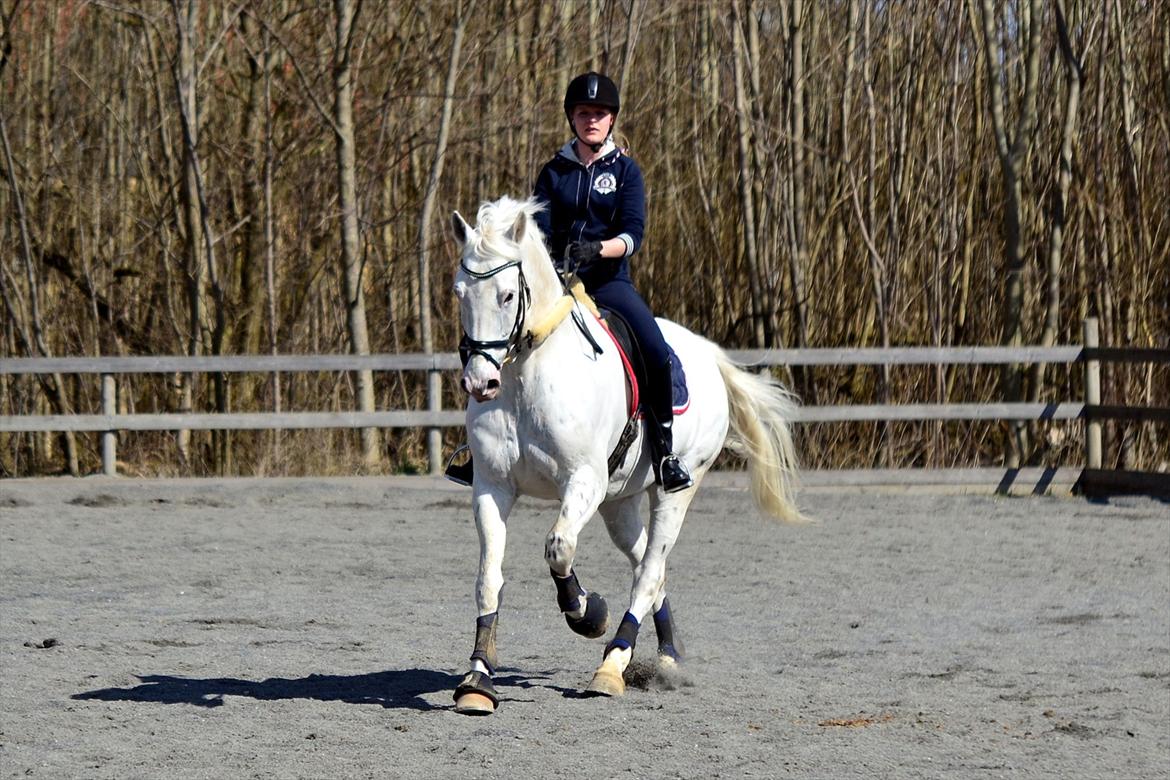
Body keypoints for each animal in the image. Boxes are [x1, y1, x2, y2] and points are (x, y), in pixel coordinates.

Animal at [446, 195, 804, 715]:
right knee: (647, 566)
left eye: (508, 296)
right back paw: (668, 656)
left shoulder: (583, 480)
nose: (480, 383)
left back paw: (612, 665)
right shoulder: (492, 487)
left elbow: (558, 547)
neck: (526, 373)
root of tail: (708, 353)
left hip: (676, 490)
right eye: (459, 293)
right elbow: (488, 577)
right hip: (619, 503)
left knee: (649, 569)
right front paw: (477, 679)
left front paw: (587, 612)